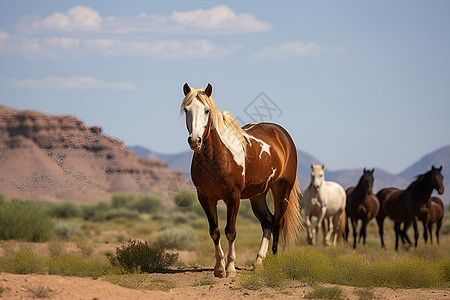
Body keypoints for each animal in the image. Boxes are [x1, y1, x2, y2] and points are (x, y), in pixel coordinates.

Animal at [180, 83, 302, 278]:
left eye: (207, 110)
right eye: (186, 110)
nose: (195, 141)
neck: (215, 157)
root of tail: (282, 134)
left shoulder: (233, 196)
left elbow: (230, 231)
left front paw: (230, 268)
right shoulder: (205, 198)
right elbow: (214, 232)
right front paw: (219, 269)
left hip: (282, 189)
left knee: (278, 222)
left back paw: (273, 263)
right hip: (257, 195)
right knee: (267, 221)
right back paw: (259, 262)